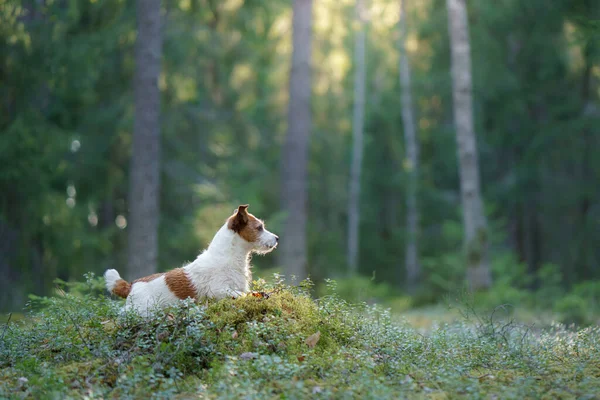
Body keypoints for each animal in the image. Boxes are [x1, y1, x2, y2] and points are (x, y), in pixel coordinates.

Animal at [103, 206, 278, 316]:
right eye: (259, 227)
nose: (277, 238)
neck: (227, 257)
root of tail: (130, 286)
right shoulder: (218, 290)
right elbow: (239, 294)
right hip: (142, 309)